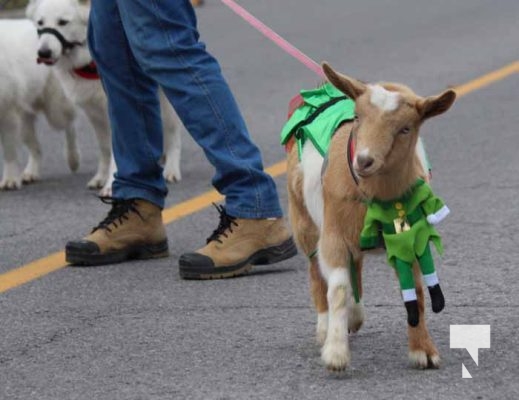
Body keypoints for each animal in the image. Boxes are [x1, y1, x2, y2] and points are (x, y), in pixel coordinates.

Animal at [0, 19, 79, 191]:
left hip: (55, 110)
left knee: (70, 126)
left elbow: (9, 152)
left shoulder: (8, 113)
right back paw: (31, 173)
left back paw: (73, 159)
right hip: (24, 120)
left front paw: (10, 180)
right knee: (37, 149)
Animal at [27, 0, 185, 194]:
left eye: (63, 22)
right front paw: (101, 178)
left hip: (166, 102)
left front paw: (111, 185)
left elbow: (119, 152)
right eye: (40, 23)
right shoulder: (95, 114)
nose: (43, 53)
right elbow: (104, 148)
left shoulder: (117, 110)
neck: (88, 61)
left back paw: (171, 169)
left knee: (172, 132)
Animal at [286, 61, 458, 370]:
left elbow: (416, 291)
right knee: (317, 271)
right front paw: (336, 354)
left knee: (356, 264)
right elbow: (338, 289)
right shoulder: (333, 235)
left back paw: (354, 316)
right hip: (304, 220)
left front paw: (423, 351)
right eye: (357, 118)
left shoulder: (410, 238)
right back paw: (324, 327)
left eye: (405, 128)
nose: (364, 161)